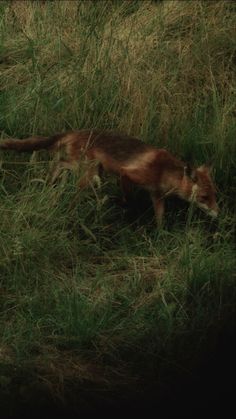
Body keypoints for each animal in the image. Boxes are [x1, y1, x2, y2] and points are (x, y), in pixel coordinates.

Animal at [0, 130, 218, 225]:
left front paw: (159, 235)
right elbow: (129, 199)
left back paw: (50, 181)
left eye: (214, 196)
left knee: (59, 164)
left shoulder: (157, 195)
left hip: (88, 169)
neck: (164, 171)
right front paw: (121, 206)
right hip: (89, 174)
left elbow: (160, 218)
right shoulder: (127, 174)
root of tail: (72, 132)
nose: (218, 214)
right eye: (204, 197)